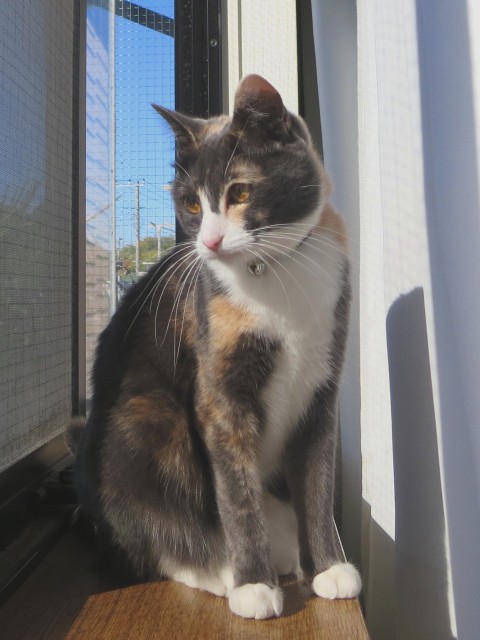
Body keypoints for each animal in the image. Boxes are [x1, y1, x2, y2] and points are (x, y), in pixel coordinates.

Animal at [70, 74, 361, 620]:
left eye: (240, 191)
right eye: (189, 204)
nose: (208, 243)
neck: (273, 274)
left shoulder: (322, 388)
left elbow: (317, 480)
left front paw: (330, 568)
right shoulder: (220, 395)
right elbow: (235, 493)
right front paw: (253, 583)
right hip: (145, 420)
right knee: (151, 535)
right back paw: (219, 569)